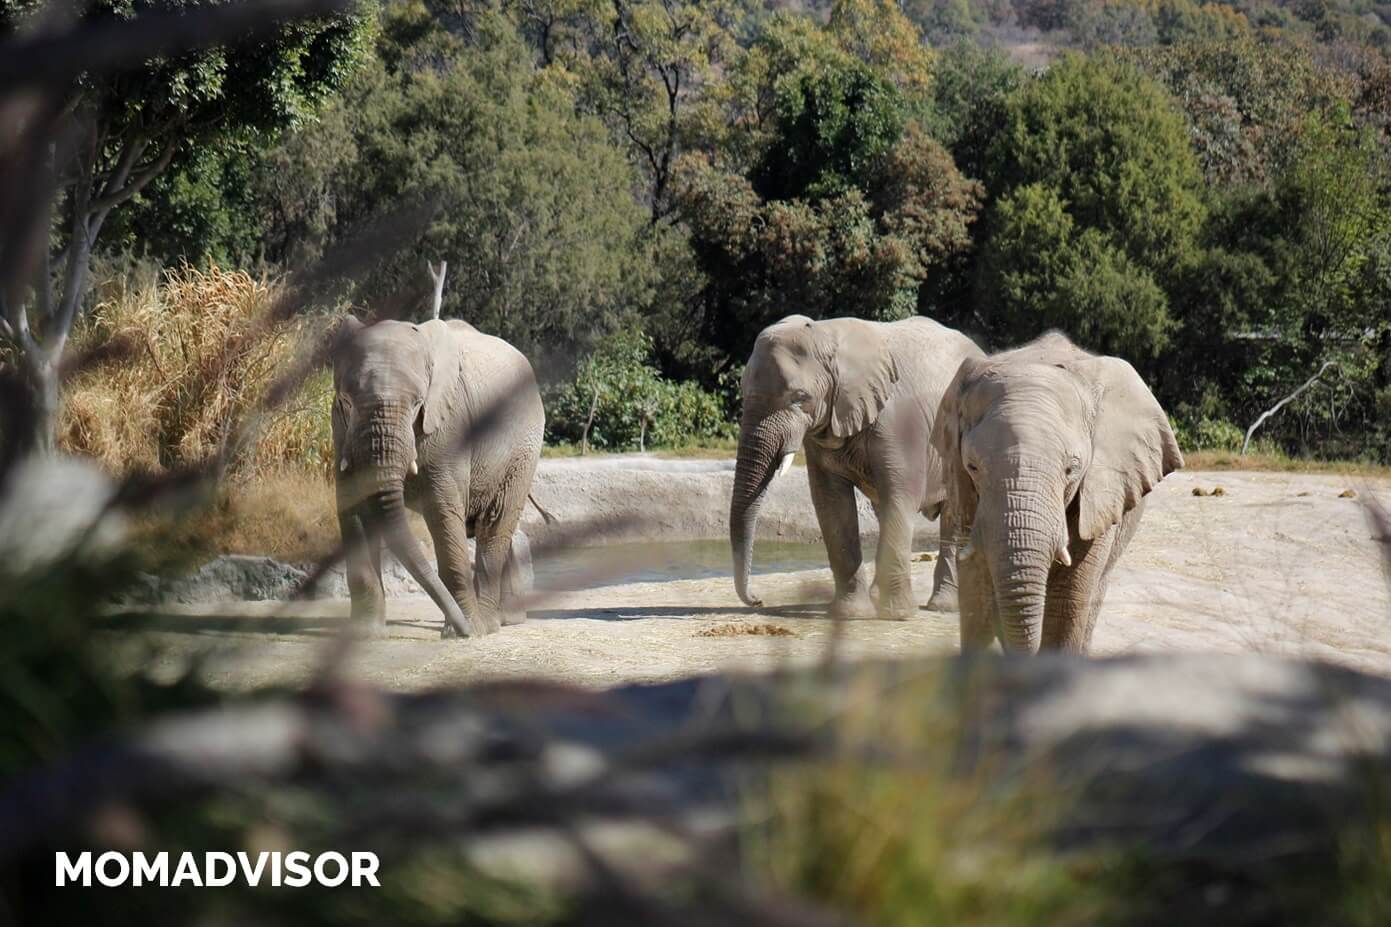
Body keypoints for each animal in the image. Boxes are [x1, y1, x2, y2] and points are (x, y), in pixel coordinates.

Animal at [331, 316, 545, 639]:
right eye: (346, 401)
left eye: (418, 404)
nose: (467, 631)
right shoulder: (339, 431)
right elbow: (352, 509)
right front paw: (364, 634)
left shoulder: (450, 425)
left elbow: (442, 510)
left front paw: (464, 631)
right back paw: (501, 620)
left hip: (524, 448)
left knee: (494, 525)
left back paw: (490, 624)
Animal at [730, 315, 984, 620]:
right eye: (743, 392)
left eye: (799, 397)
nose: (758, 600)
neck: (828, 335)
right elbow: (831, 503)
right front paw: (851, 614)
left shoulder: (900, 423)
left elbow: (901, 496)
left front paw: (897, 615)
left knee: (953, 514)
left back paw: (944, 606)